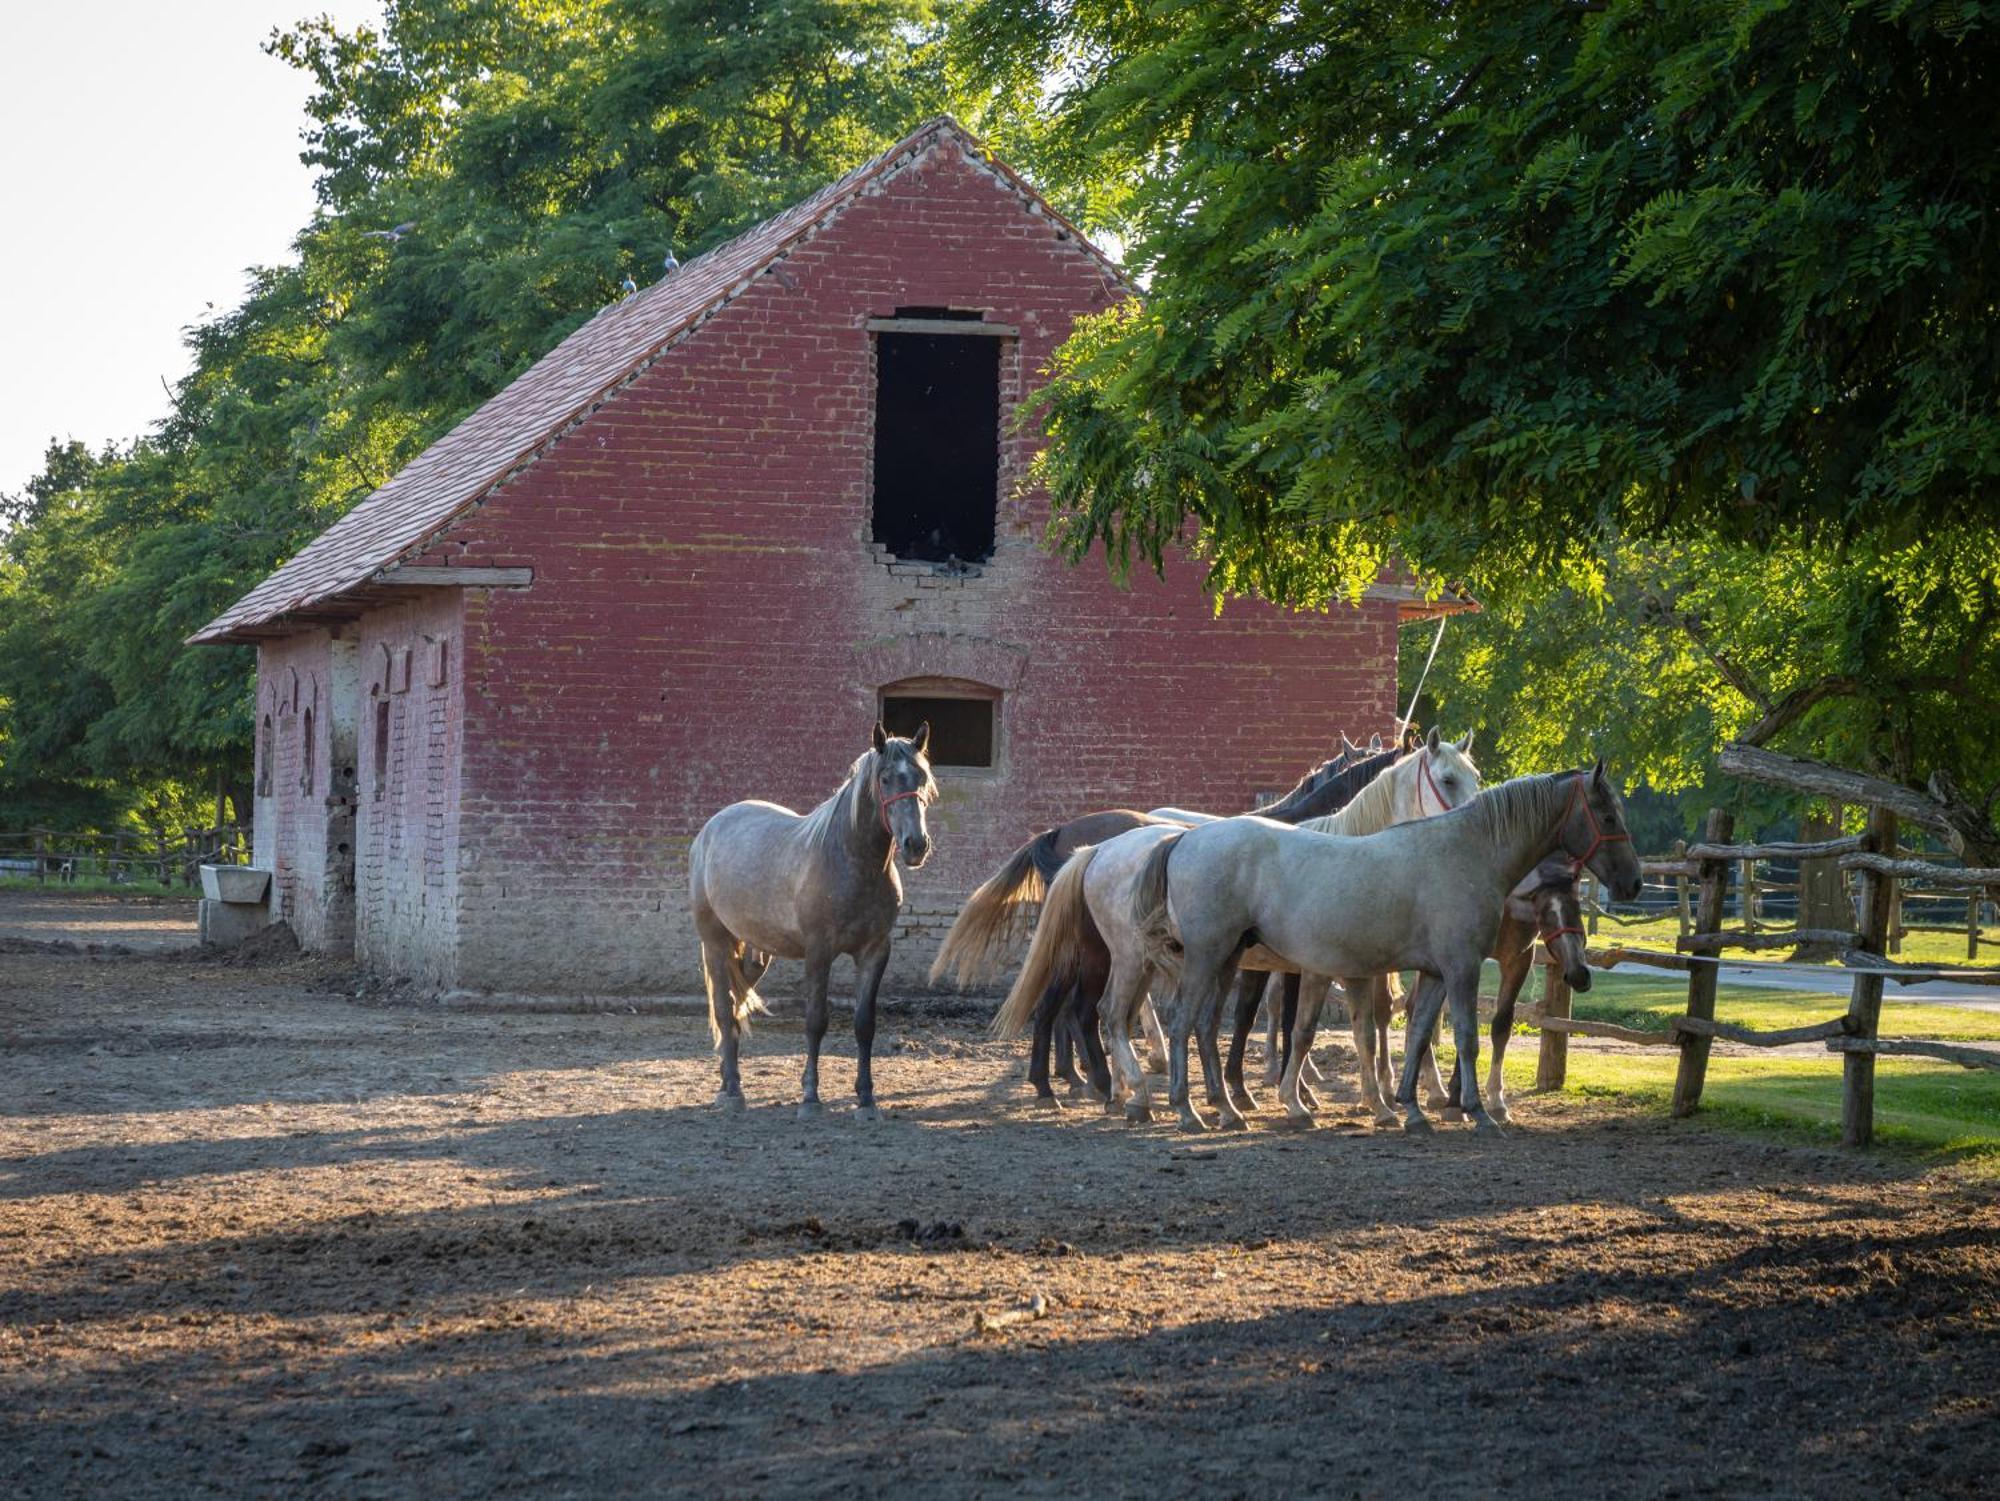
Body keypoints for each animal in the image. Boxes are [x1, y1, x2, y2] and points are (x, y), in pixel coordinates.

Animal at [688, 724, 936, 1120]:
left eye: (922, 777)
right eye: (884, 779)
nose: (916, 845)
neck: (852, 863)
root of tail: (710, 830)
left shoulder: (875, 952)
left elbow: (865, 1025)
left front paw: (867, 1100)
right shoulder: (819, 952)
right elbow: (816, 1021)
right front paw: (810, 1098)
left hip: (756, 954)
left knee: (737, 1004)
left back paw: (728, 1082)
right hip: (715, 943)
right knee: (725, 1010)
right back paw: (732, 1093)